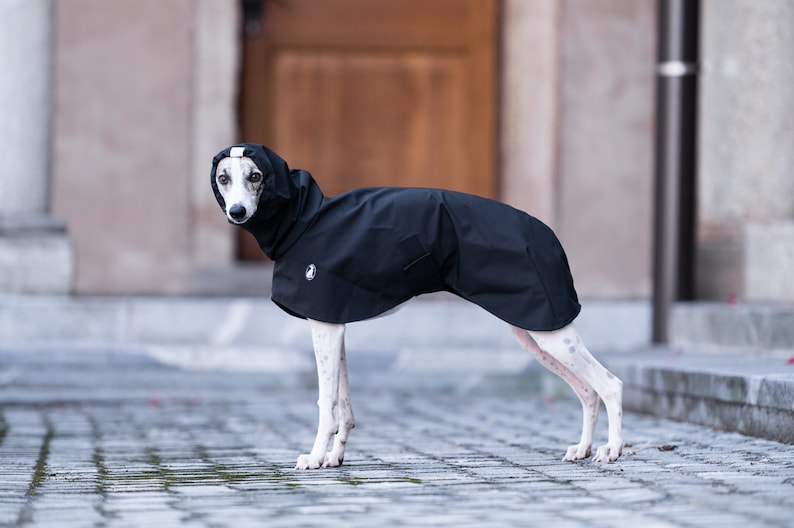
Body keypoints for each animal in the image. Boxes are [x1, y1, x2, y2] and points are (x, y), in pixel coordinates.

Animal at [212, 142, 624, 468]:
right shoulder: (334, 322)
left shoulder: (325, 327)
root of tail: (548, 233)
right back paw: (583, 449)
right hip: (535, 332)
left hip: (551, 332)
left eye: (255, 176)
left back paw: (613, 449)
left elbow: (325, 403)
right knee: (588, 391)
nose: (237, 212)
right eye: (223, 178)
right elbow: (344, 406)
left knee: (610, 385)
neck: (304, 219)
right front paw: (334, 457)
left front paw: (313, 458)